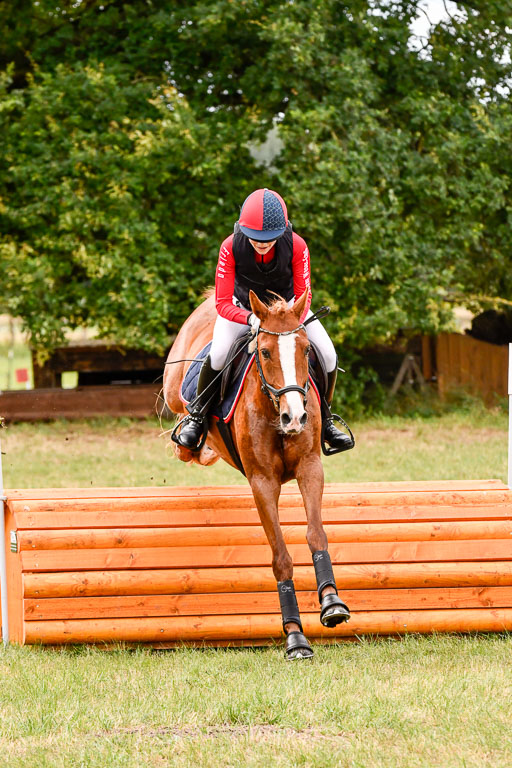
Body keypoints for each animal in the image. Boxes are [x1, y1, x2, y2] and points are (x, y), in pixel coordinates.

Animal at [162, 288, 350, 660]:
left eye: (307, 351)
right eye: (264, 352)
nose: (295, 417)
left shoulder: (310, 468)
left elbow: (316, 535)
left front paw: (332, 603)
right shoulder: (262, 482)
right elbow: (281, 558)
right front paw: (295, 638)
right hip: (174, 389)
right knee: (182, 427)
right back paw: (192, 435)